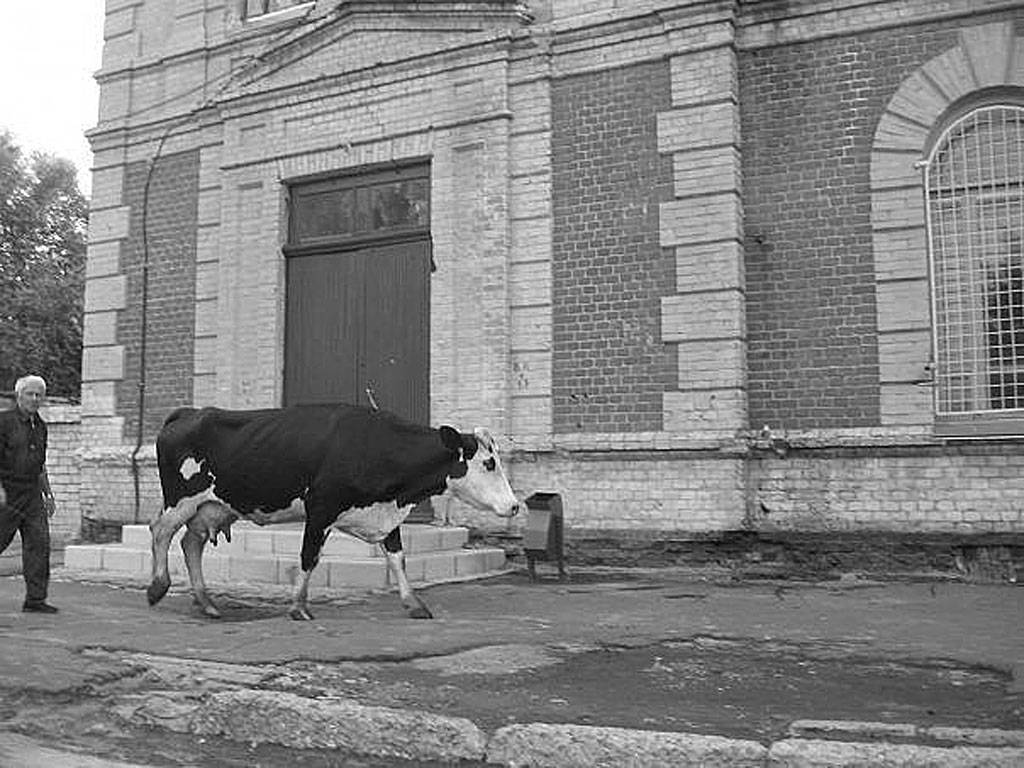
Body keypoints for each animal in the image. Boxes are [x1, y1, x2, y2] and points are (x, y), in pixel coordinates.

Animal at [146, 405, 520, 622]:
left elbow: (398, 559)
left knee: (190, 544)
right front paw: (298, 607)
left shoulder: (387, 515)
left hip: (211, 507)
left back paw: (206, 602)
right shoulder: (321, 509)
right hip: (181, 499)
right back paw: (158, 587)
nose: (515, 505)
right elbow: (309, 556)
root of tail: (190, 412)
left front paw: (413, 603)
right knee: (160, 530)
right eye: (489, 463)